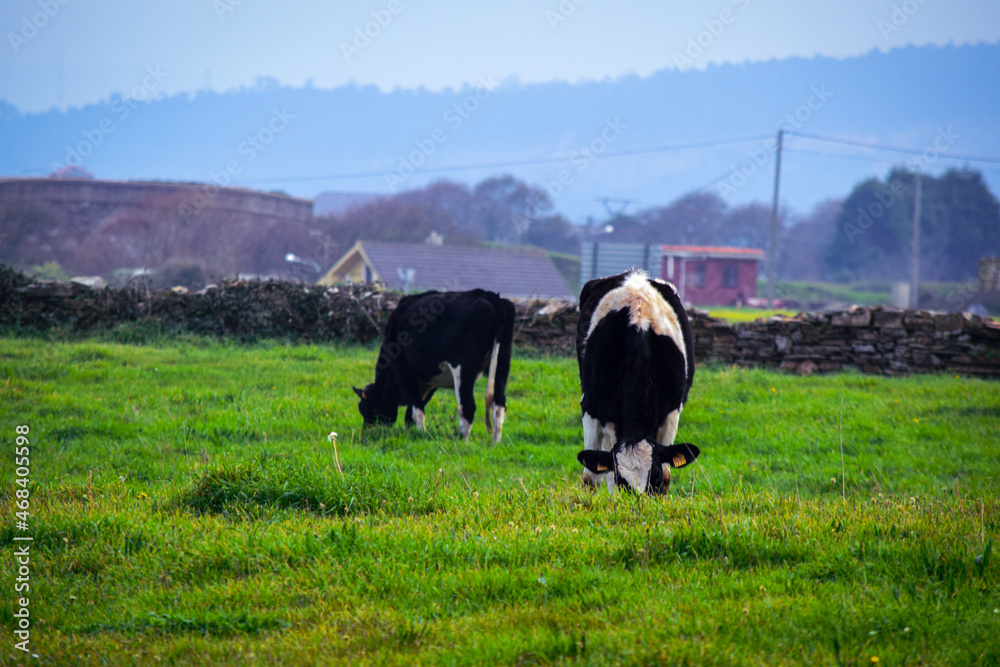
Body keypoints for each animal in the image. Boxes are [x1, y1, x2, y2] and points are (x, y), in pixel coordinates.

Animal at [353, 289, 515, 444]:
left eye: (365, 409)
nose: (366, 430)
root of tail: (490, 296)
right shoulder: (429, 381)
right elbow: (412, 411)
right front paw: (411, 432)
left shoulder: (403, 372)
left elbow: (416, 410)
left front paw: (421, 434)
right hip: (502, 365)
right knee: (499, 406)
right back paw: (495, 444)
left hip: (463, 368)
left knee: (467, 406)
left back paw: (461, 442)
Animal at [575, 269, 700, 493]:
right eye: (622, 481)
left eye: (654, 478)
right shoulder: (590, 409)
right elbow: (592, 477)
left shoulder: (671, 414)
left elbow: (667, 474)